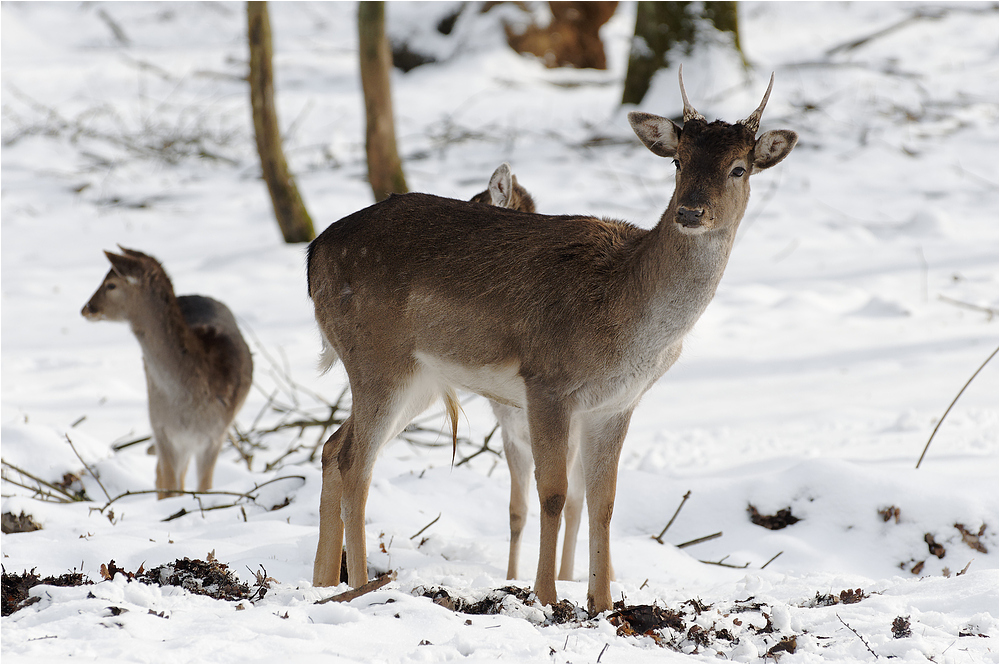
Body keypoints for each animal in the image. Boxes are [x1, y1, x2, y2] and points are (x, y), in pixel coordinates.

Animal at [83, 249, 254, 498]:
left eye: (111, 284)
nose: (86, 308)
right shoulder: (162, 432)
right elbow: (170, 487)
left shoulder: (215, 436)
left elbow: (204, 487)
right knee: (162, 477)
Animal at [308, 70, 792, 616]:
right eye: (678, 161)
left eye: (738, 169)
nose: (690, 211)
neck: (626, 322)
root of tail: (312, 253)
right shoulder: (547, 382)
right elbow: (553, 493)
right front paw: (544, 596)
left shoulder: (616, 405)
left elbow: (603, 501)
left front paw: (602, 602)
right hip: (378, 359)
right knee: (355, 463)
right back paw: (358, 586)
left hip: (420, 379)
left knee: (331, 446)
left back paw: (321, 583)